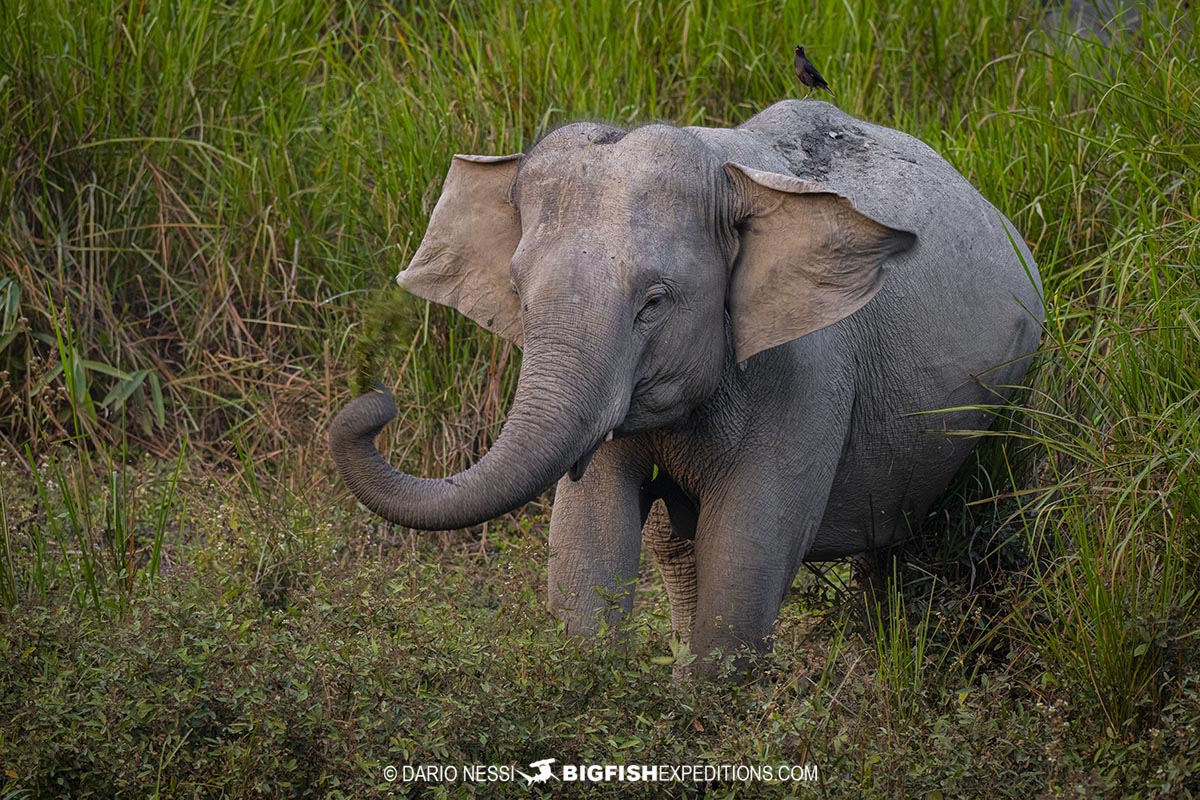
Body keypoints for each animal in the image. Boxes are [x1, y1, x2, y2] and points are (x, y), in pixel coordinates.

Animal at [328, 100, 1041, 676]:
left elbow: (746, 561)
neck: (725, 169)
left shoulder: (808, 371)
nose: (377, 401)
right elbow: (588, 542)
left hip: (1010, 383)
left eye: (654, 302)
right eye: (517, 292)